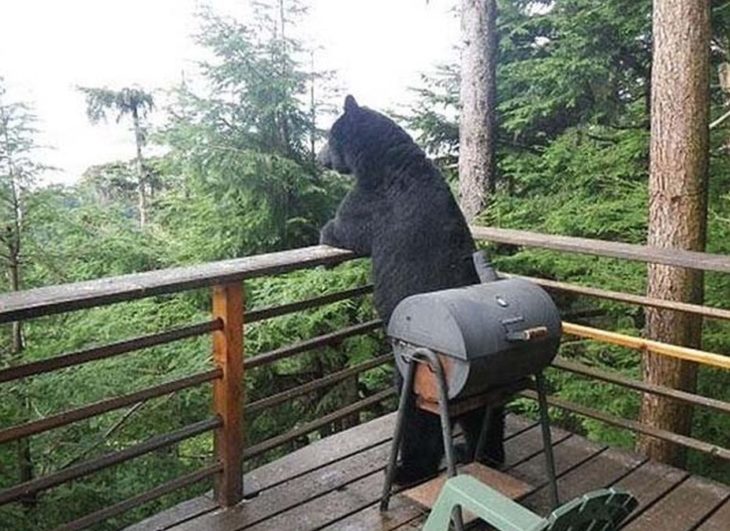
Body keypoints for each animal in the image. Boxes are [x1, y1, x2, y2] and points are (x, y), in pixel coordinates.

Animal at [318, 95, 506, 486]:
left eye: (328, 135)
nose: (319, 157)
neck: (385, 159)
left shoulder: (370, 204)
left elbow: (338, 228)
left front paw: (325, 233)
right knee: (485, 414)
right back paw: (481, 454)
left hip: (419, 367)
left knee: (420, 419)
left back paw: (410, 468)